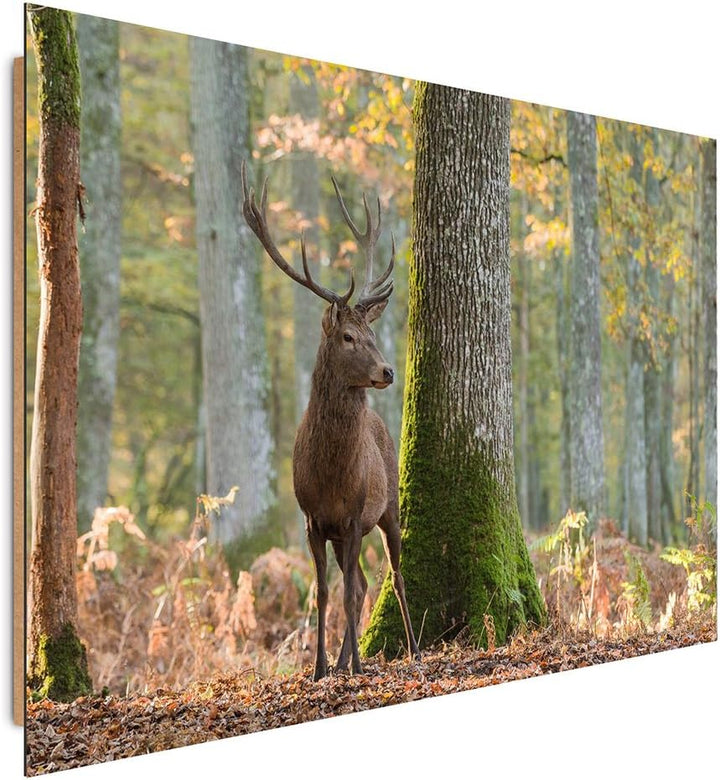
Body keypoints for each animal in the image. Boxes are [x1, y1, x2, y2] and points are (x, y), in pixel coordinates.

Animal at [241, 162, 420, 680]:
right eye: (347, 337)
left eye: (373, 334)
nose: (388, 371)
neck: (332, 474)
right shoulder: (313, 519)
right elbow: (323, 593)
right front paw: (320, 667)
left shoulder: (356, 515)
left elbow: (345, 593)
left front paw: (357, 665)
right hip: (344, 534)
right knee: (358, 581)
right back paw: (342, 659)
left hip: (389, 506)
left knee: (392, 576)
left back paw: (410, 649)